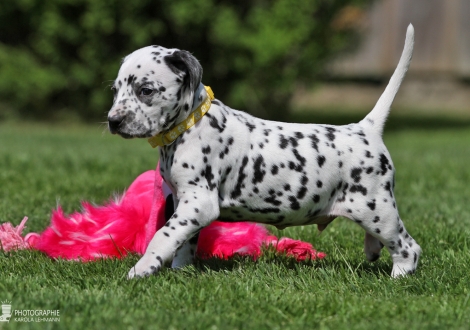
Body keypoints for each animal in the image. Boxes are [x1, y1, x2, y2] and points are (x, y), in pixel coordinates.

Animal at [108, 24, 420, 278]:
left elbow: (163, 235)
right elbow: (183, 242)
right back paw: (373, 251)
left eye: (146, 90)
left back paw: (399, 277)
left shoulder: (198, 202)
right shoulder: (182, 201)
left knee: (408, 247)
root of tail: (365, 128)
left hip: (377, 209)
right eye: (115, 90)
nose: (113, 121)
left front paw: (141, 269)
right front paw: (179, 271)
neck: (190, 125)